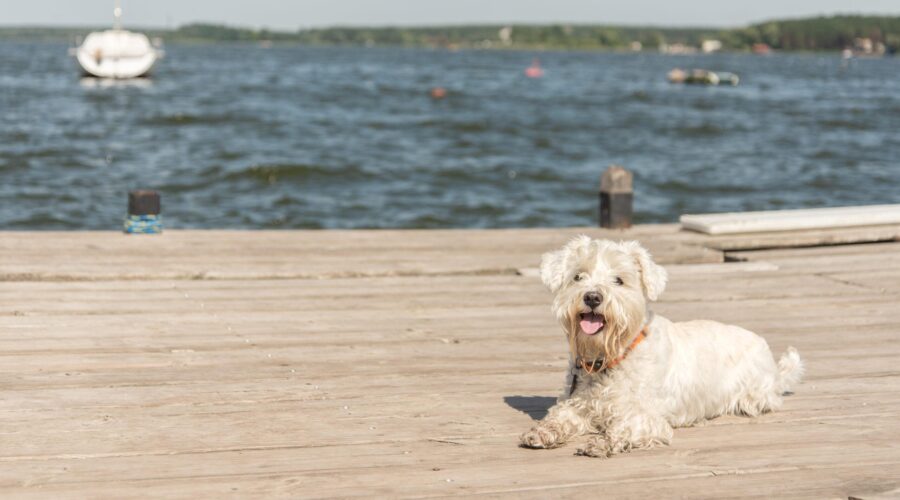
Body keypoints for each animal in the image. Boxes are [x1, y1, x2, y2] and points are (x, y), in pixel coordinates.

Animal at [516, 236, 804, 458]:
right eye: (578, 276)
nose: (593, 297)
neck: (610, 357)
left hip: (754, 393)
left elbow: (625, 427)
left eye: (619, 280)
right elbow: (559, 417)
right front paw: (542, 432)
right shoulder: (578, 404)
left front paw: (602, 442)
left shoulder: (646, 417)